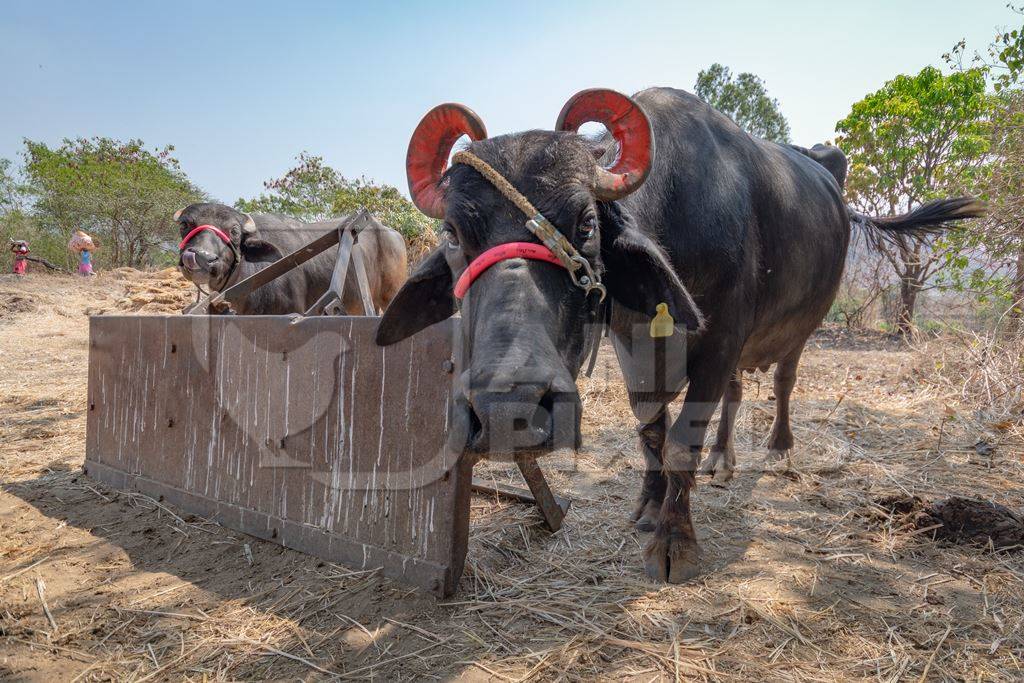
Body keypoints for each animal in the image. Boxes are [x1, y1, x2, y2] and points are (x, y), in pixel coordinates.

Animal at [376, 88, 983, 585]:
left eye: (586, 223)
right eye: (453, 234)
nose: (508, 409)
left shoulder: (719, 341)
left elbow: (680, 443)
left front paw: (674, 543)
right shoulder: (629, 345)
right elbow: (651, 434)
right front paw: (648, 508)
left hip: (804, 324)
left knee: (784, 381)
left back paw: (778, 450)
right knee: (736, 394)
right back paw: (723, 459)